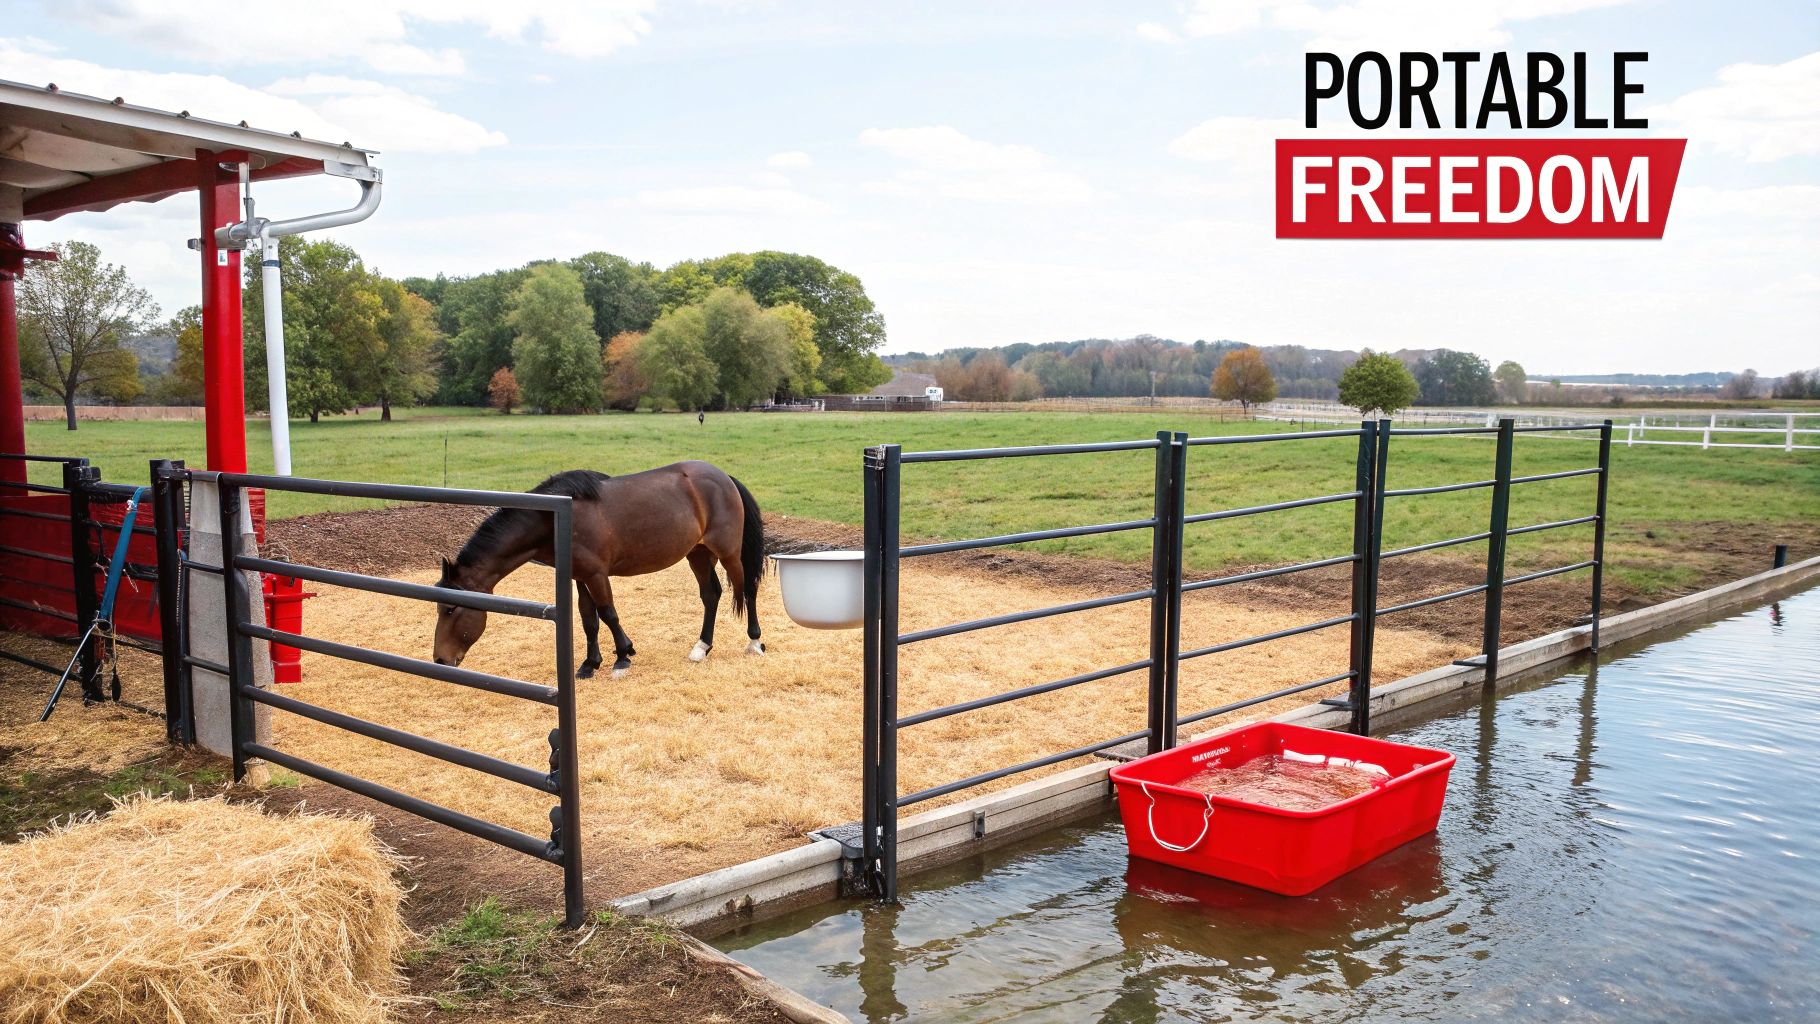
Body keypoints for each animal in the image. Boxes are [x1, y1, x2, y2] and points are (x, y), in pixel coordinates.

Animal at [432, 462, 766, 679]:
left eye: (450, 609)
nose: (440, 659)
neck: (556, 519)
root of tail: (724, 477)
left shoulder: (596, 575)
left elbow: (608, 613)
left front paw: (623, 657)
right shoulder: (579, 577)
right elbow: (588, 620)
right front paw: (590, 664)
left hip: (728, 553)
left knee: (748, 590)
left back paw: (754, 642)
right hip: (697, 553)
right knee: (711, 595)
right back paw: (701, 647)